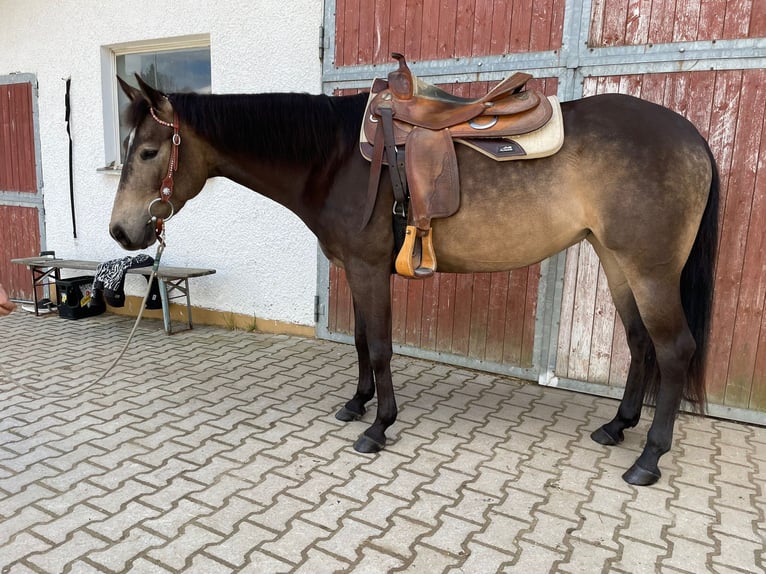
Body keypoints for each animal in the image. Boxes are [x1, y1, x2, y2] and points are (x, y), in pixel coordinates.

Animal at [109, 74, 718, 486]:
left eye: (148, 151)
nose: (120, 230)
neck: (335, 159)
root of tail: (690, 134)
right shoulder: (356, 270)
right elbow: (360, 341)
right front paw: (356, 404)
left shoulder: (368, 268)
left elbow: (380, 347)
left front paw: (378, 426)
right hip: (616, 262)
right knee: (640, 343)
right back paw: (617, 426)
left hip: (649, 269)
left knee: (674, 349)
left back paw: (648, 458)